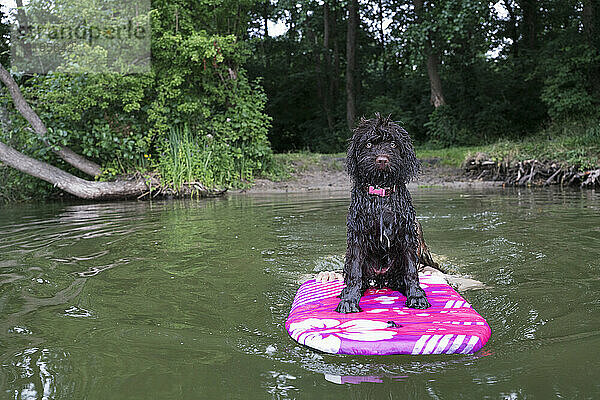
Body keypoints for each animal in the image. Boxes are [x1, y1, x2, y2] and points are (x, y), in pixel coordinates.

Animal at [338, 112, 432, 312]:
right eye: (368, 144)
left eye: (393, 144)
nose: (382, 160)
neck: (381, 195)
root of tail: (381, 277)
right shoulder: (357, 236)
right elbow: (355, 272)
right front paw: (349, 300)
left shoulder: (406, 235)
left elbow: (411, 271)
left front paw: (416, 296)